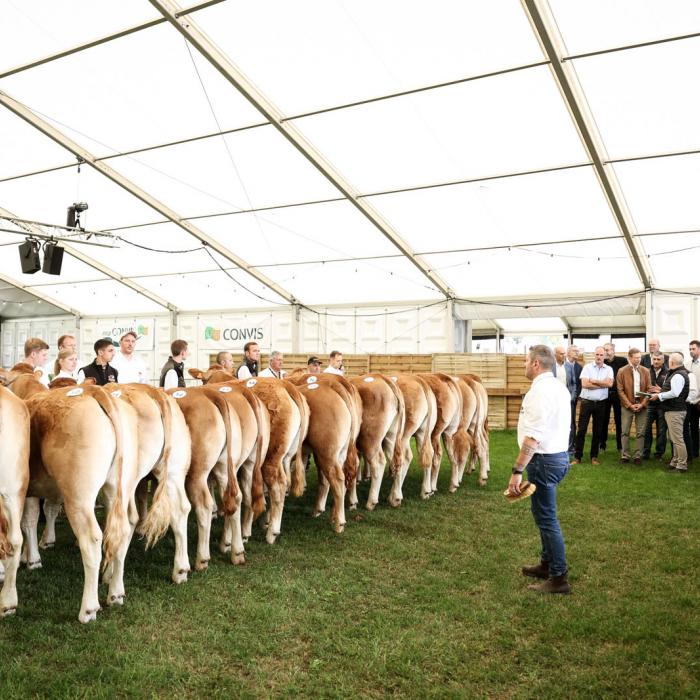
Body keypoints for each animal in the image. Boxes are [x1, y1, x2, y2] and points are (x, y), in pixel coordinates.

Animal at [348, 374, 404, 512]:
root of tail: (382, 377)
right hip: (391, 436)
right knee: (397, 460)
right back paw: (395, 498)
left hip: (370, 439)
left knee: (378, 462)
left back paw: (371, 502)